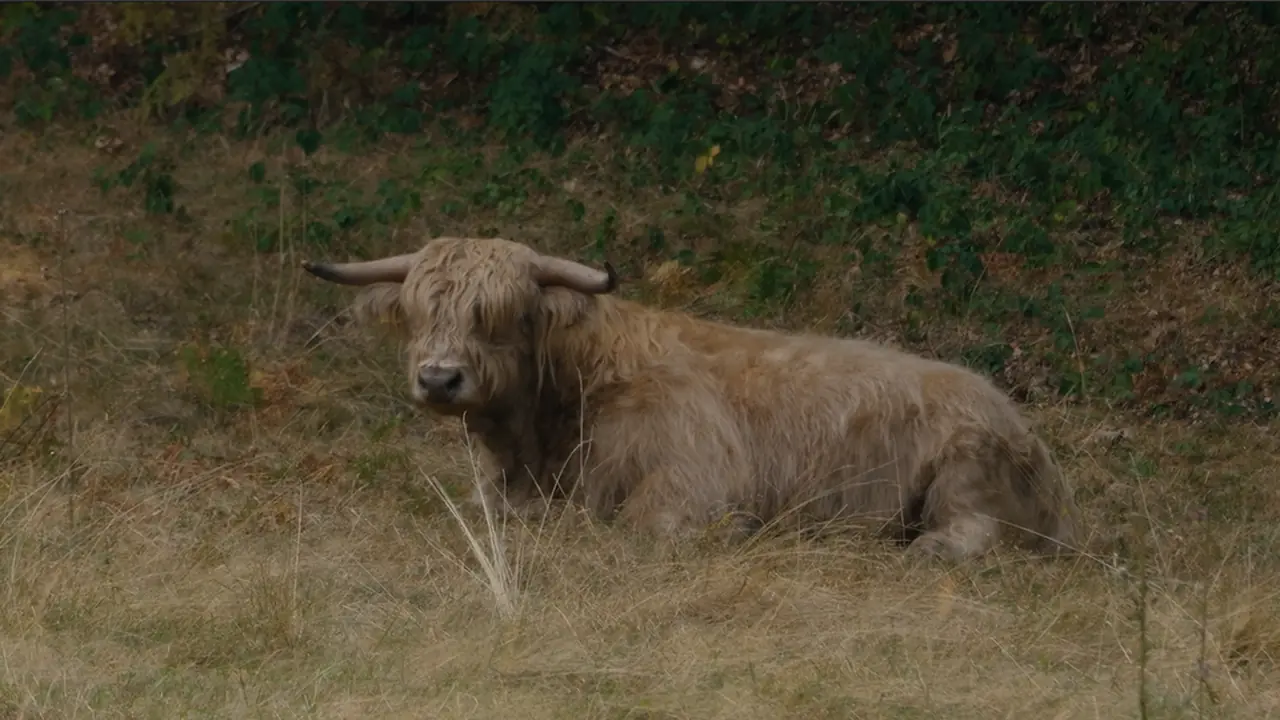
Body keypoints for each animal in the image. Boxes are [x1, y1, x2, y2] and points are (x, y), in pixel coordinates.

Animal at [303, 236, 1083, 561]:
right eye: (417, 310)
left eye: (502, 313)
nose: (439, 378)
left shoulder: (694, 483)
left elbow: (648, 527)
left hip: (966, 473)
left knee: (971, 532)